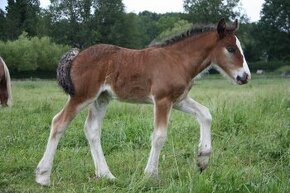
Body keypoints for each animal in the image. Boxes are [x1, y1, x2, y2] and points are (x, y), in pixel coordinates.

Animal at [35, 18, 249, 185]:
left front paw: (202, 159)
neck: (178, 60)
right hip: (82, 95)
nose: (245, 77)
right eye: (230, 49)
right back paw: (43, 176)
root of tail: (77, 55)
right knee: (59, 122)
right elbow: (159, 136)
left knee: (92, 129)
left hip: (101, 98)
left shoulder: (178, 100)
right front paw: (151, 174)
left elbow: (205, 114)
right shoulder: (162, 99)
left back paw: (106, 175)